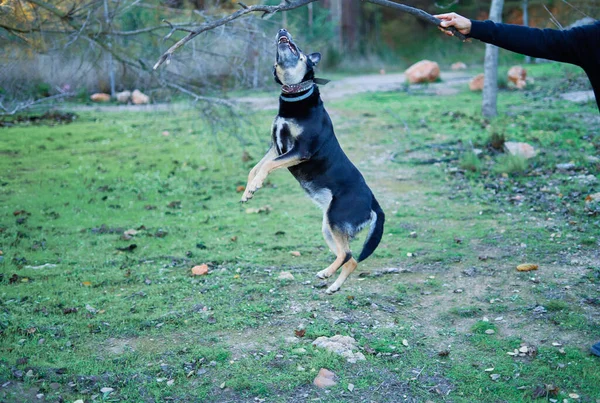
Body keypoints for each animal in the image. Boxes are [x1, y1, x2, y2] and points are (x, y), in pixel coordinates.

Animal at [240, 28, 384, 294]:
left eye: (300, 49)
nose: (283, 30)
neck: (294, 95)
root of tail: (374, 204)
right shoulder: (275, 146)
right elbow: (255, 168)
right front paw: (248, 191)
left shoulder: (298, 151)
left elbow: (266, 167)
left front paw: (255, 186)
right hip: (329, 227)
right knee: (351, 259)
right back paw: (333, 284)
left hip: (336, 219)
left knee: (347, 255)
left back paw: (326, 273)